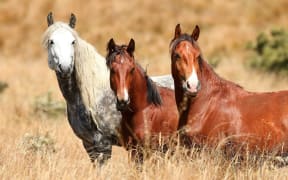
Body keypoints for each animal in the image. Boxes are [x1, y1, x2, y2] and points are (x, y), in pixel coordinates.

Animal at [41, 12, 174, 165]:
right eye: (51, 41)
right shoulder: (89, 145)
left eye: (73, 42)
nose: (65, 67)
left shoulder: (103, 145)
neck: (94, 94)